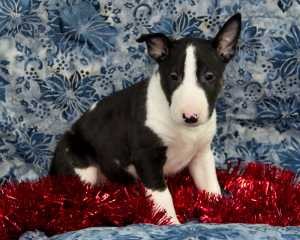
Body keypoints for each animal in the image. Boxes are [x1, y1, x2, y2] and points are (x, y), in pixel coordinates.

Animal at [49, 12, 241, 223]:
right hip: (80, 166)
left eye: (209, 76)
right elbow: (163, 196)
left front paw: (220, 212)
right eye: (173, 76)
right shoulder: (147, 157)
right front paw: (172, 223)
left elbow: (210, 187)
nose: (190, 117)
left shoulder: (201, 154)